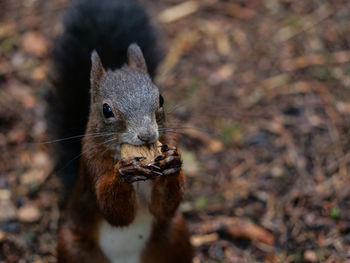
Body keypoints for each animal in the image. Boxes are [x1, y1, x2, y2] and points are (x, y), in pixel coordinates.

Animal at [51, 0, 194, 262]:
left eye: (160, 98)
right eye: (106, 110)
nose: (147, 135)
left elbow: (165, 207)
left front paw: (171, 161)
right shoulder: (91, 161)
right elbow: (114, 210)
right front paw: (125, 172)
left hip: (175, 235)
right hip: (72, 246)